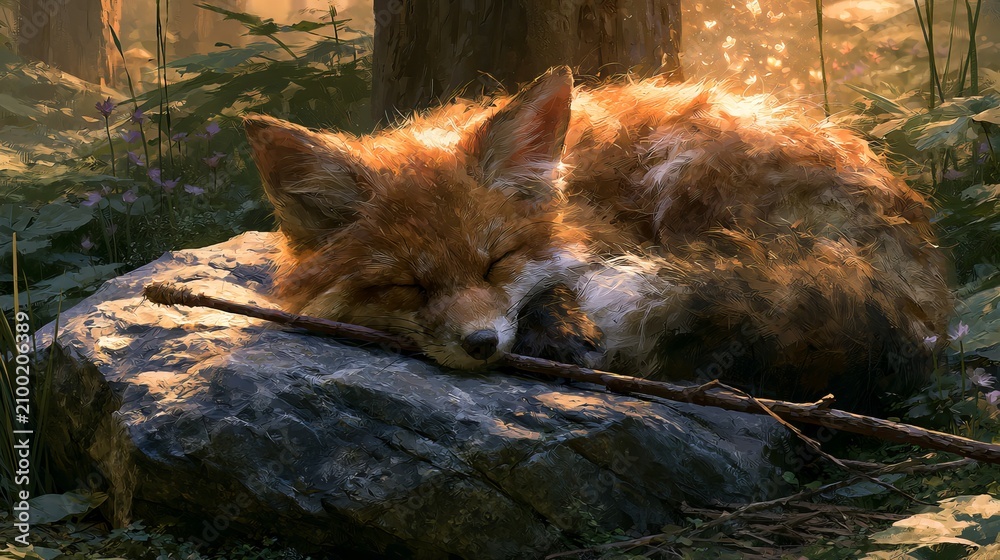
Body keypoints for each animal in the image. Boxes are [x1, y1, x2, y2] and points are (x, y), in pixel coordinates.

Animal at [244, 66, 953, 413]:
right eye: (406, 285)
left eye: (497, 261)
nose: (482, 345)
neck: (574, 184)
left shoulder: (601, 240)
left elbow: (559, 281)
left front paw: (561, 324)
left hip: (686, 176)